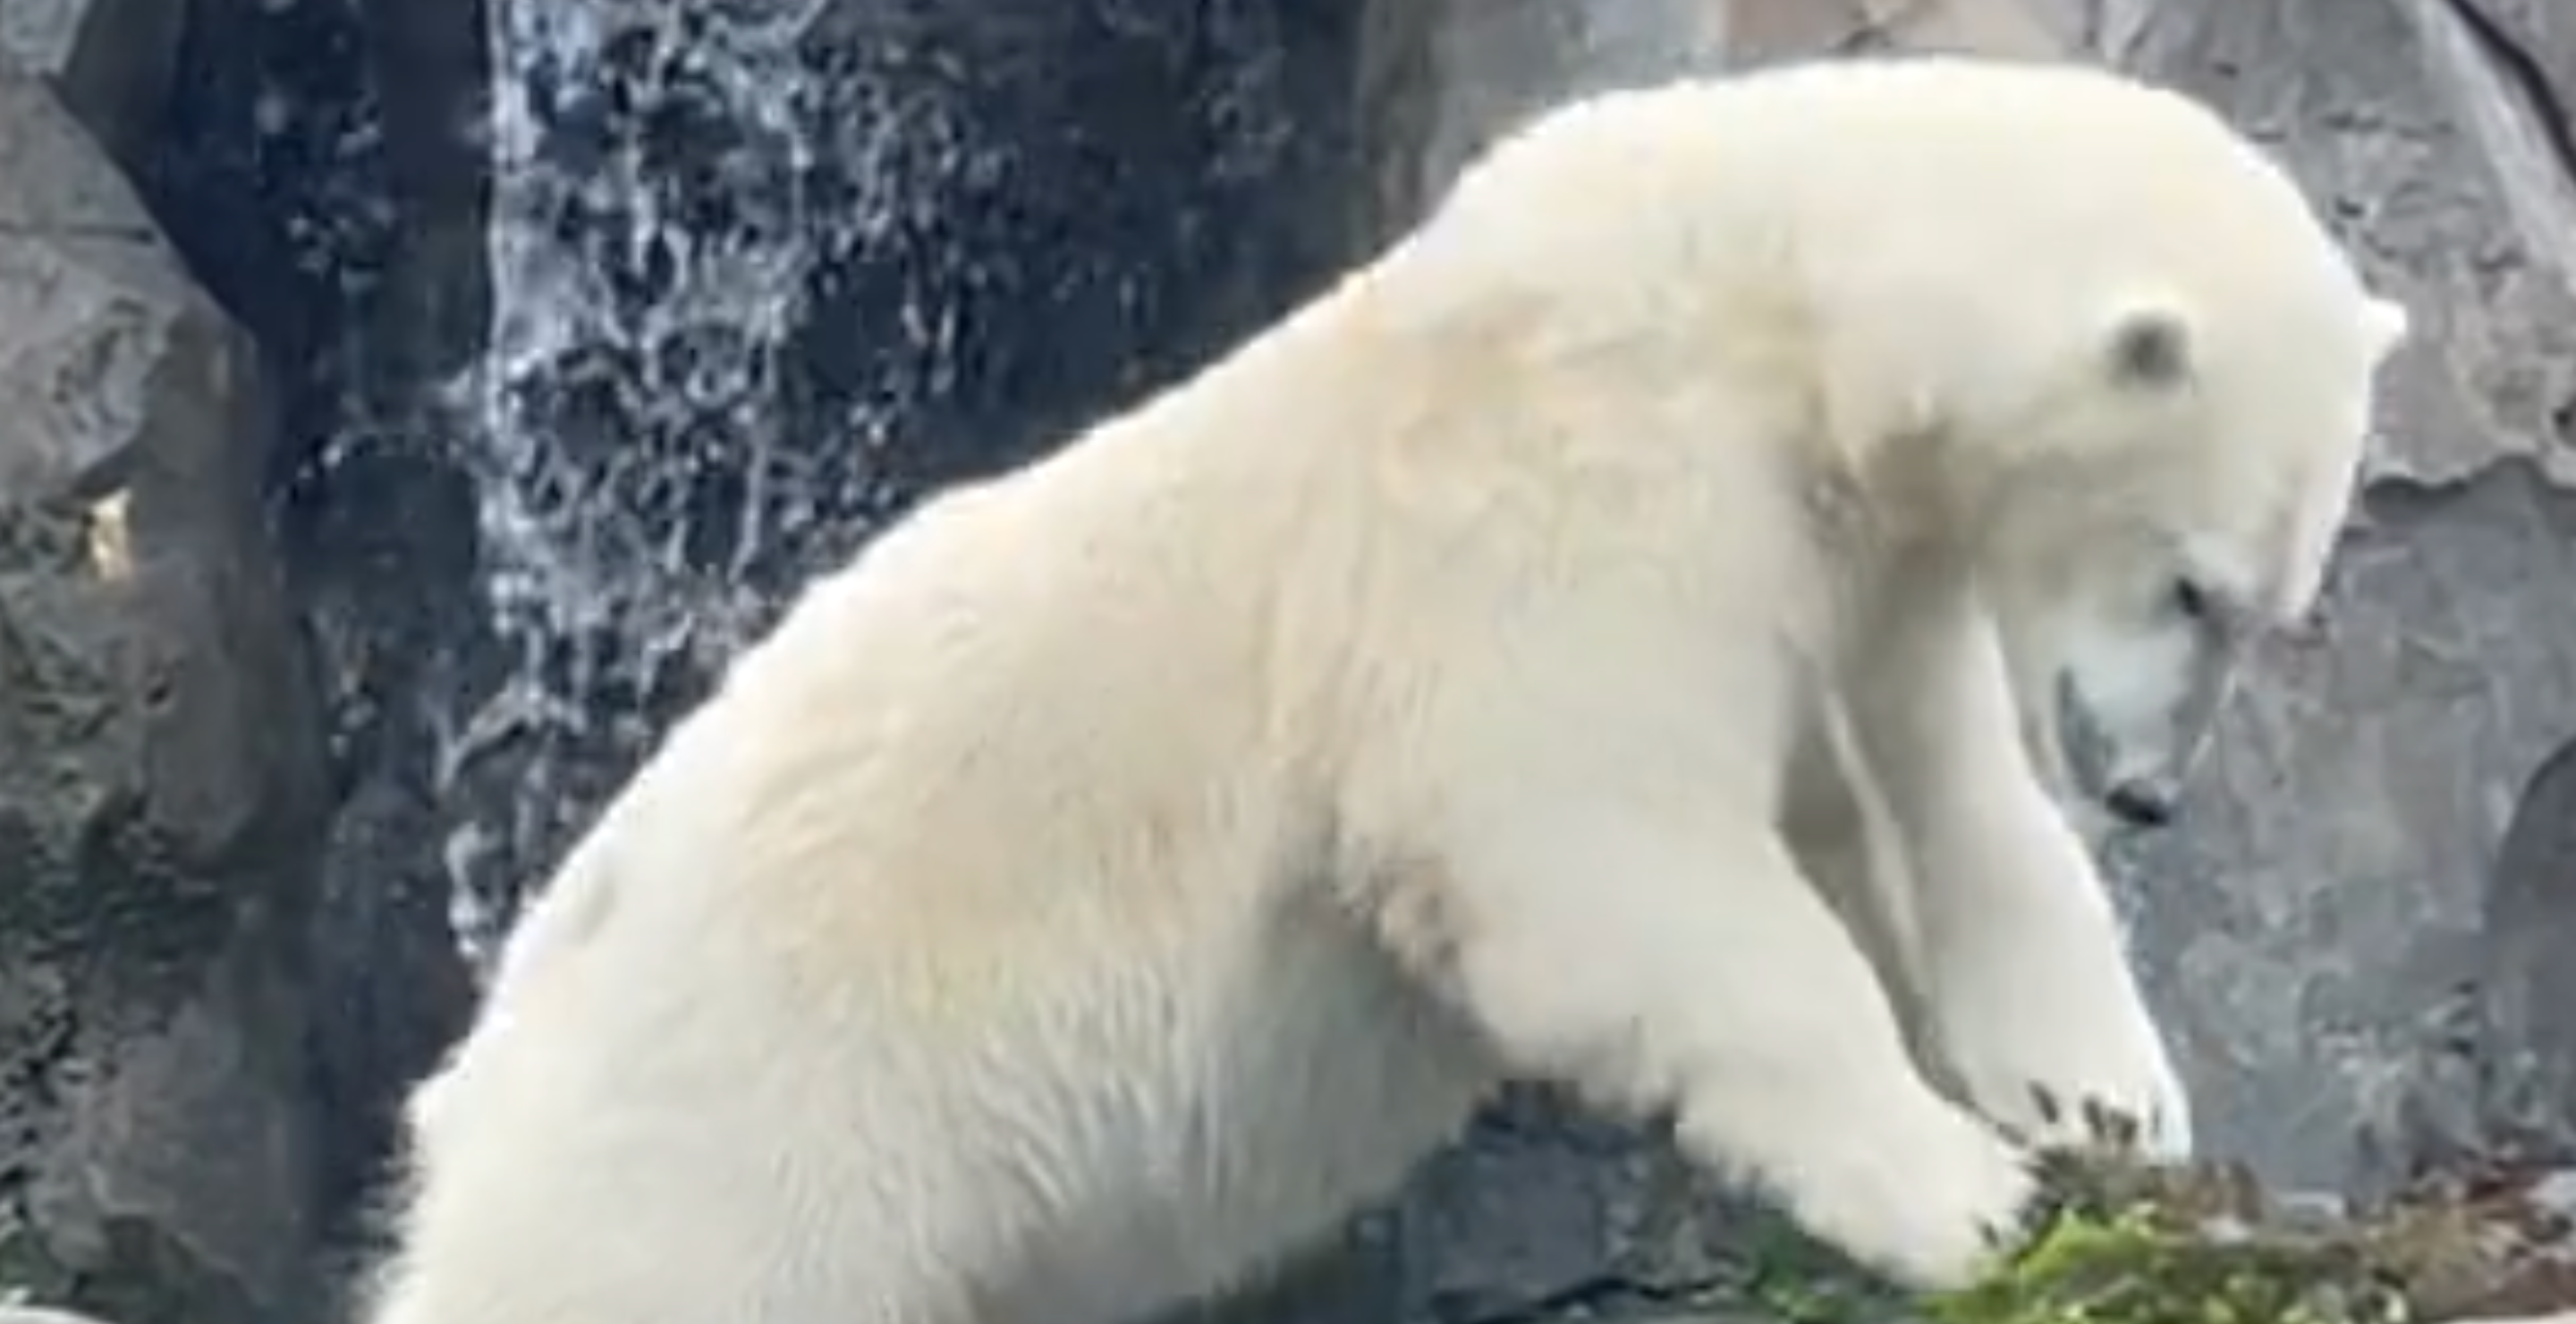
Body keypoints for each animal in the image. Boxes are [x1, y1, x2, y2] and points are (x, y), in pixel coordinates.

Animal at [358, 56, 2390, 1319]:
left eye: (2278, 606)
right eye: (2196, 584)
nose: (2152, 792)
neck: (1753, 288)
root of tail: (487, 1062)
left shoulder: (1850, 562)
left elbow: (1930, 815)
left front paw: (2106, 1103)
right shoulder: (1559, 504)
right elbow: (1598, 851)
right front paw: (1966, 1193)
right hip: (751, 1128)